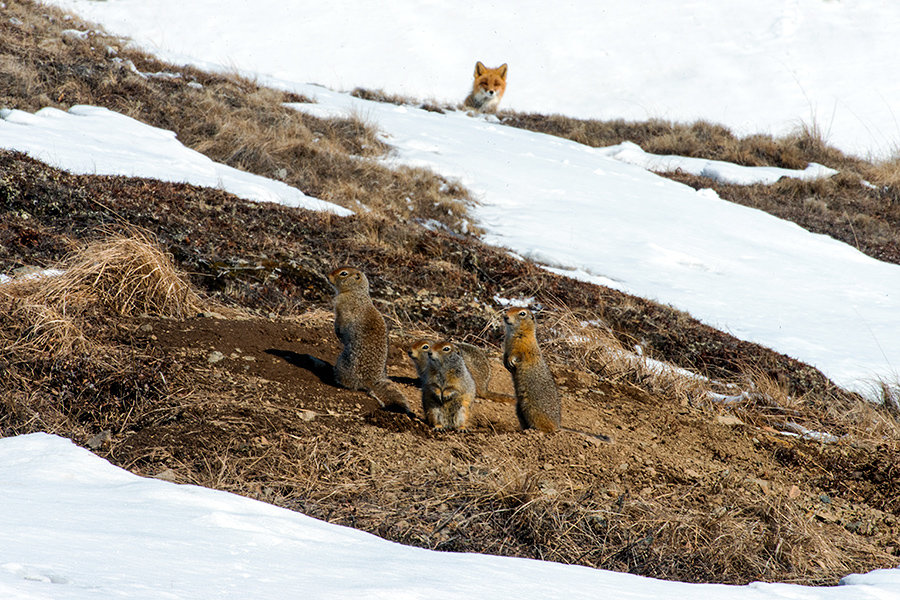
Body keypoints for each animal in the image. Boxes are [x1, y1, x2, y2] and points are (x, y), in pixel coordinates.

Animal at [328, 264, 410, 414]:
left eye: (343, 273)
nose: (328, 276)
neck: (357, 292)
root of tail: (372, 381)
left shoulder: (342, 305)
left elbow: (340, 321)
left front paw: (338, 333)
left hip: (344, 361)